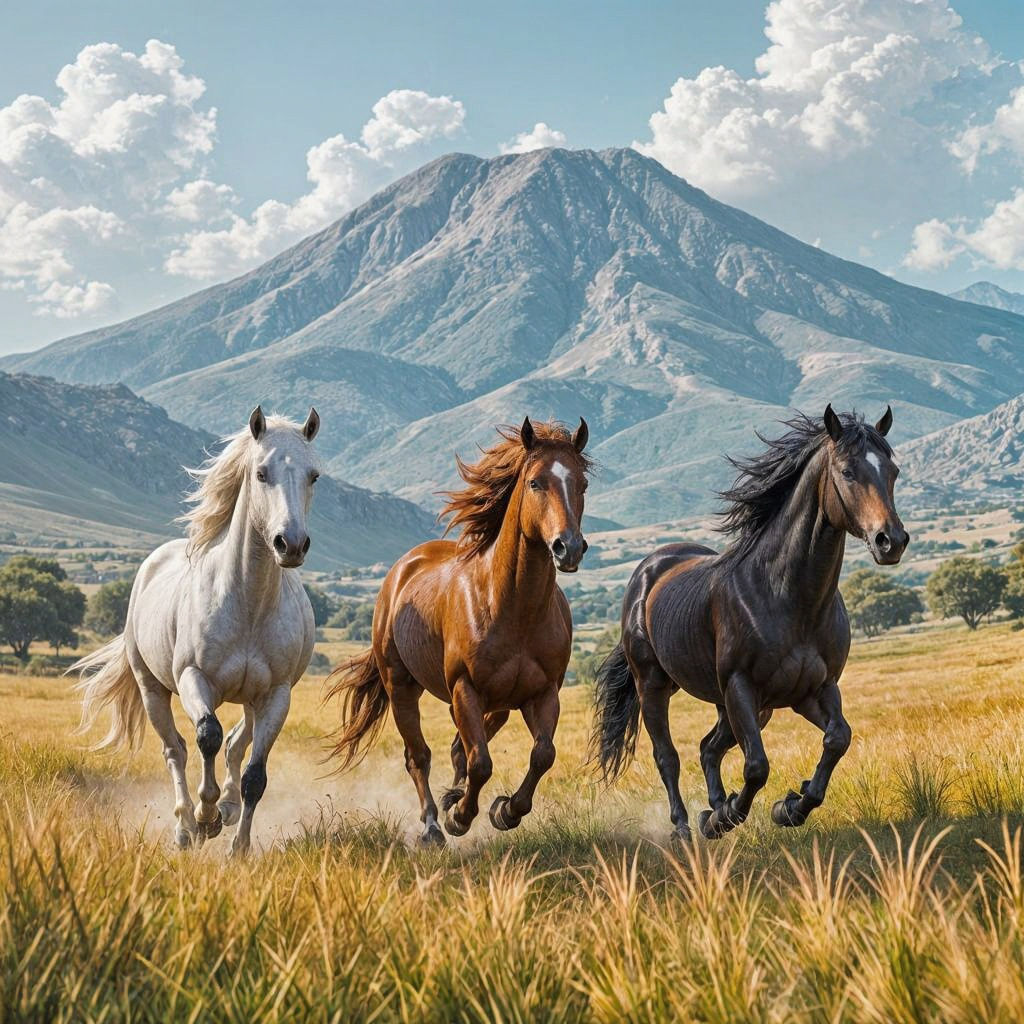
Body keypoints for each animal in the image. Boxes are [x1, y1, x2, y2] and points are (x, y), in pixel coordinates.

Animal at [74, 406, 321, 855]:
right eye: (261, 473)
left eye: (313, 476)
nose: (290, 544)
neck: (247, 601)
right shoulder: (194, 677)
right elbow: (207, 735)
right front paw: (206, 818)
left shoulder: (276, 694)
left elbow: (254, 773)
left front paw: (238, 846)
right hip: (151, 689)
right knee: (176, 749)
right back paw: (186, 827)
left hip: (251, 699)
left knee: (238, 743)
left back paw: (227, 809)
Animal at [325, 417, 590, 845]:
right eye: (535, 482)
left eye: (581, 484)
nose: (568, 548)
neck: (513, 608)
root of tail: (403, 568)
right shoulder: (466, 689)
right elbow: (481, 762)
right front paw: (460, 817)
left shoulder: (543, 693)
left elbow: (542, 755)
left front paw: (505, 810)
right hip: (402, 686)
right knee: (419, 757)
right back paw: (434, 824)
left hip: (495, 705)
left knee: (455, 750)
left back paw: (453, 798)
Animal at [592, 405, 908, 842]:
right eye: (847, 471)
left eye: (893, 470)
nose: (890, 541)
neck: (787, 596)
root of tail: (650, 570)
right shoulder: (742, 686)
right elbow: (757, 766)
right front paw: (734, 815)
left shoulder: (814, 689)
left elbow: (837, 739)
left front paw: (791, 805)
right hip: (655, 686)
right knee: (667, 756)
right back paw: (686, 828)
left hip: (742, 706)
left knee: (708, 747)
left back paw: (712, 810)